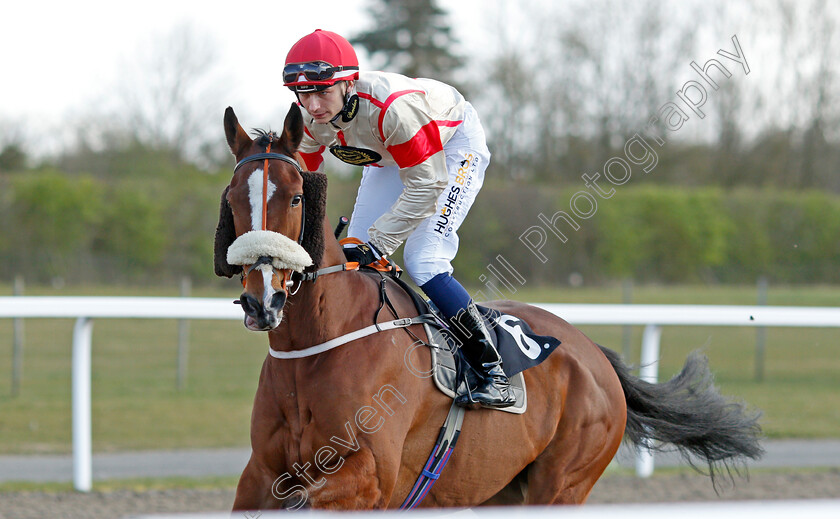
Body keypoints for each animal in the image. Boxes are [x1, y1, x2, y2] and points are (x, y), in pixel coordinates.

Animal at [213, 104, 764, 512]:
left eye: (295, 198)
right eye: (234, 199)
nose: (262, 300)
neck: (319, 341)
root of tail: (593, 353)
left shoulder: (366, 480)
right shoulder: (262, 474)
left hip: (561, 486)